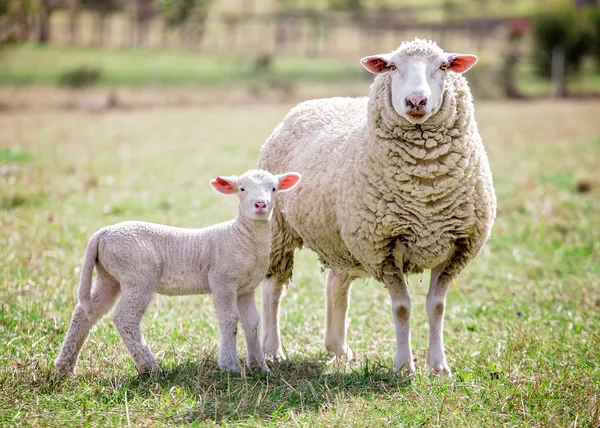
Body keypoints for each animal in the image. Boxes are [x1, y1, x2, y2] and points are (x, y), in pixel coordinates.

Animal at [53, 169, 300, 376]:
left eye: (274, 189)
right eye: (242, 189)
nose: (260, 205)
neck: (241, 236)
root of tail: (101, 234)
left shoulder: (245, 288)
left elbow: (252, 323)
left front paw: (260, 367)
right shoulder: (222, 281)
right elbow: (230, 320)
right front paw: (230, 367)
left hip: (109, 277)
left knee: (85, 313)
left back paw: (65, 367)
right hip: (137, 275)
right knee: (125, 319)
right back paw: (150, 368)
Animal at [258, 38, 496, 376]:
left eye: (443, 66)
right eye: (393, 67)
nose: (415, 100)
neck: (425, 187)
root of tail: (311, 103)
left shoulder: (457, 247)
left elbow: (436, 307)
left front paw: (439, 366)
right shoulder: (382, 247)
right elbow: (402, 308)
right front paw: (404, 365)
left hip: (343, 238)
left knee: (336, 284)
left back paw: (338, 348)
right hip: (279, 228)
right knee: (273, 289)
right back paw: (272, 350)